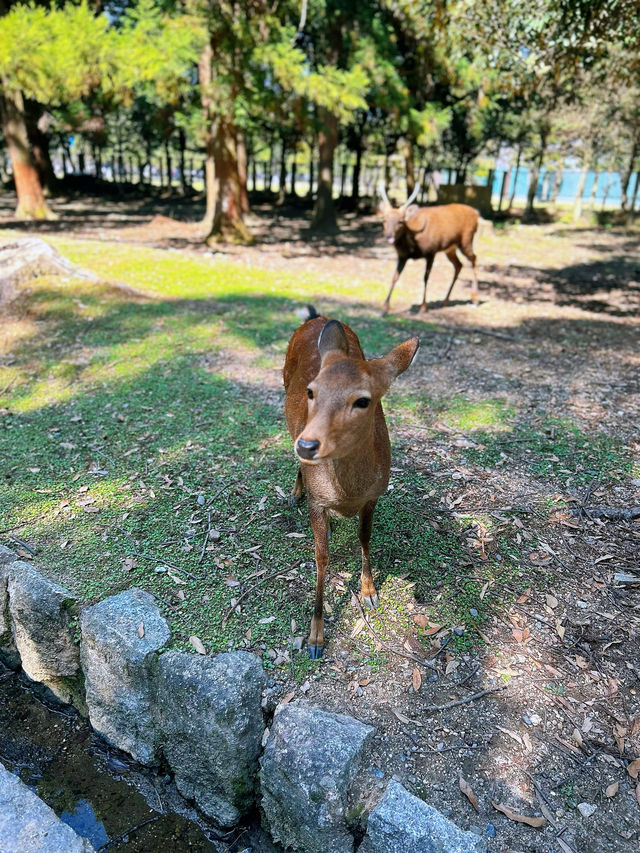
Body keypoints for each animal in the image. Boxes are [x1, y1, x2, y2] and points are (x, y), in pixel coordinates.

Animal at [282, 308, 418, 660]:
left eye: (363, 401)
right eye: (311, 391)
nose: (307, 445)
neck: (347, 492)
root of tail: (317, 317)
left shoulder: (375, 495)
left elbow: (364, 537)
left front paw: (369, 592)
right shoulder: (318, 502)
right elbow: (321, 558)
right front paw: (315, 638)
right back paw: (296, 492)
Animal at [378, 182, 478, 312]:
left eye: (400, 221)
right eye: (384, 220)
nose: (389, 236)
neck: (414, 246)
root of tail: (476, 215)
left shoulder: (431, 251)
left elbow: (425, 277)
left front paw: (423, 307)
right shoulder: (403, 255)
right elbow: (395, 277)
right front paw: (384, 308)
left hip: (466, 240)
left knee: (474, 258)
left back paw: (475, 299)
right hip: (450, 249)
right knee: (459, 265)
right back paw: (445, 301)